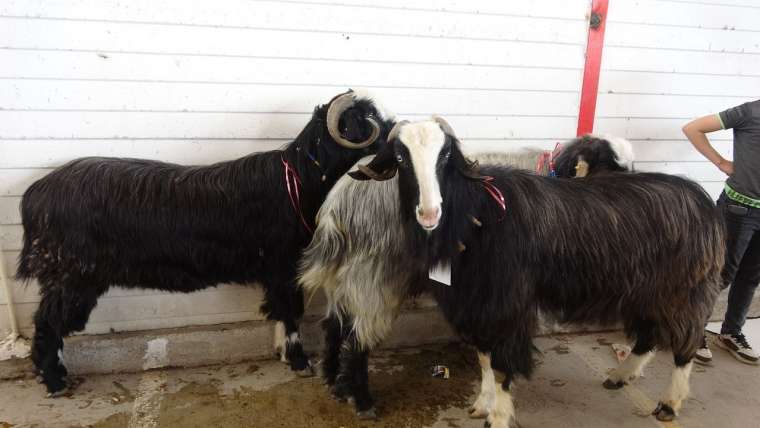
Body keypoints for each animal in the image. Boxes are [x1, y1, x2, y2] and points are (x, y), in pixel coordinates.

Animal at [16, 88, 398, 396]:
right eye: (365, 125)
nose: (396, 144)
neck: (298, 182)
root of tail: (34, 195)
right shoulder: (283, 265)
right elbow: (290, 312)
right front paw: (298, 361)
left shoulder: (275, 272)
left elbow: (278, 310)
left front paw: (282, 353)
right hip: (71, 275)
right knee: (48, 322)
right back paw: (55, 382)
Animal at [298, 133, 636, 418]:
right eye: (612, 170)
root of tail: (339, 205)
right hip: (376, 276)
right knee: (358, 339)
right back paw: (363, 402)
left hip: (345, 276)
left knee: (334, 325)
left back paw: (333, 382)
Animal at [340, 118, 724, 426]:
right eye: (401, 159)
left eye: (445, 156)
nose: (430, 212)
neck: (479, 214)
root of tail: (700, 197)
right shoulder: (476, 303)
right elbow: (483, 358)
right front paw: (482, 404)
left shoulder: (507, 304)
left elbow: (500, 365)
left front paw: (498, 417)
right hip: (645, 290)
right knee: (648, 335)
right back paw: (619, 376)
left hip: (684, 290)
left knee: (686, 340)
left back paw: (669, 404)